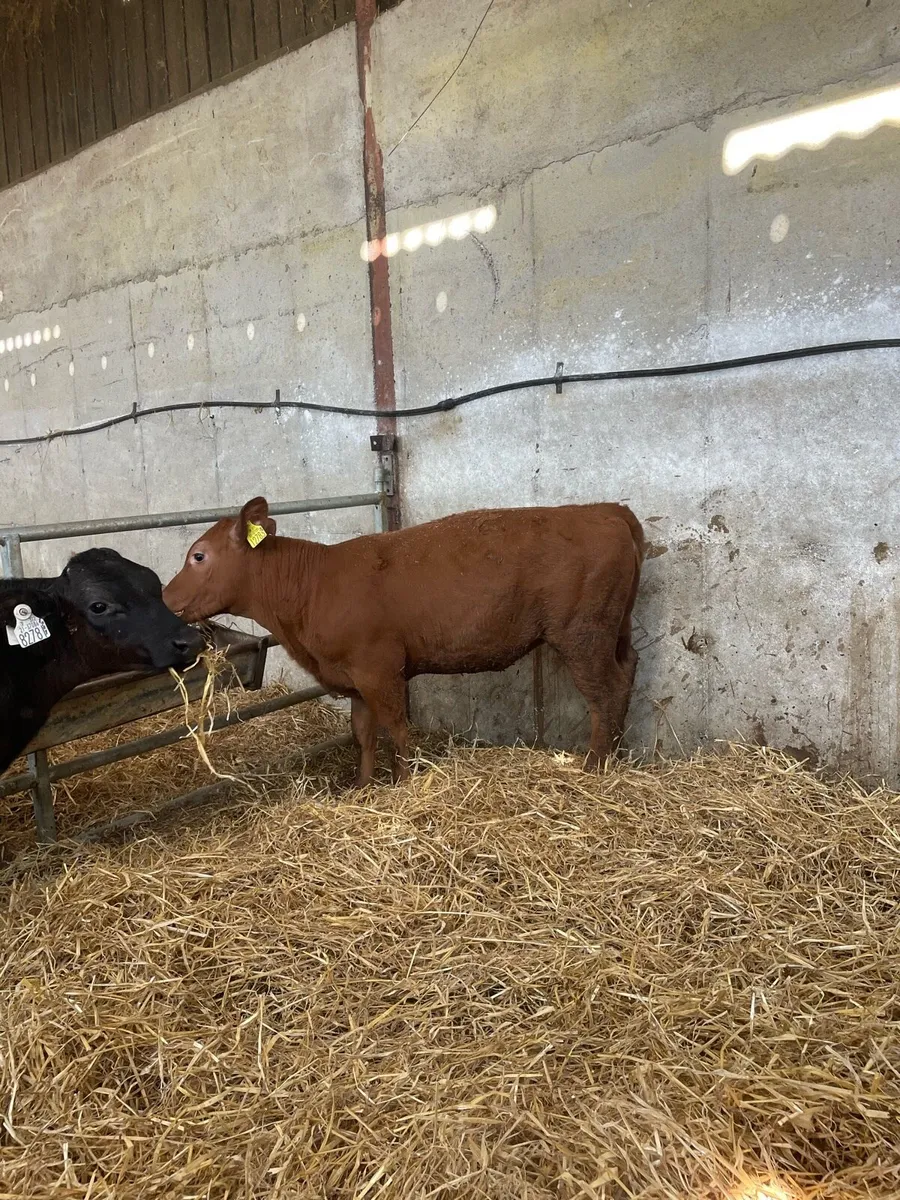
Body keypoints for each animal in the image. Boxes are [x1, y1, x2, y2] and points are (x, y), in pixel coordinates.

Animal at [163, 498, 645, 788]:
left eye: (198, 555)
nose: (166, 598)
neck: (313, 586)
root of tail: (602, 510)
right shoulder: (354, 678)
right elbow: (363, 733)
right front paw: (362, 787)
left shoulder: (379, 668)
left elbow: (396, 726)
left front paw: (406, 780)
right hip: (613, 631)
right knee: (627, 674)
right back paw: (616, 756)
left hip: (582, 635)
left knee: (604, 694)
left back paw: (594, 766)